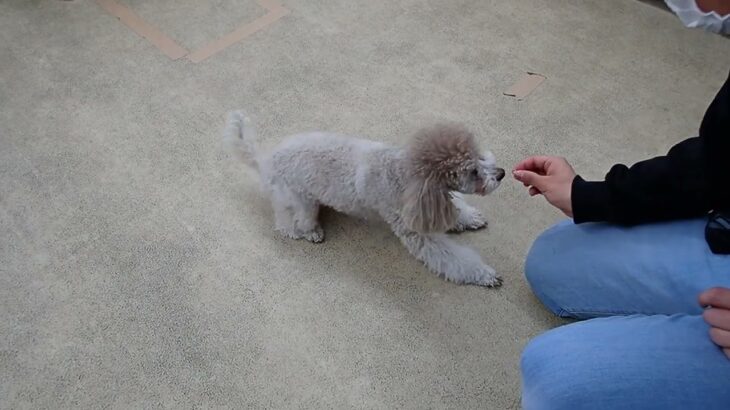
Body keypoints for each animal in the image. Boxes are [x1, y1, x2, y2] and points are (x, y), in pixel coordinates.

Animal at [225, 110, 504, 286]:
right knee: (288, 222)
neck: (403, 173)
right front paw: (484, 274)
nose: (501, 173)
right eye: (472, 172)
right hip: (300, 200)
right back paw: (307, 232)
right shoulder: (418, 233)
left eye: (478, 156)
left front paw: (469, 217)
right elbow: (454, 259)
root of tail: (265, 160)